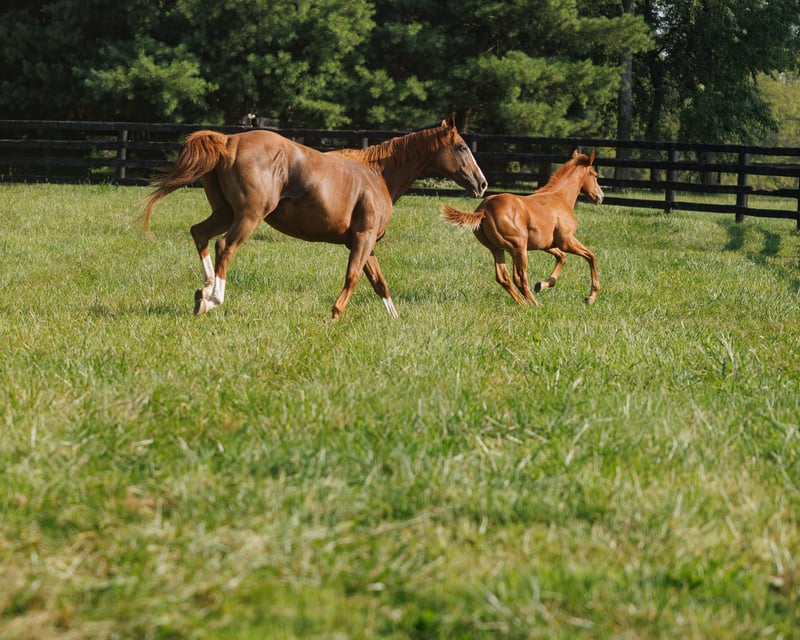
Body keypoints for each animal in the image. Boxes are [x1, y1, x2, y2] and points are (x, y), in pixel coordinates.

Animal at [141, 114, 487, 320]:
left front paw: (395, 320)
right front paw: (334, 315)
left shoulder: (368, 244)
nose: (482, 184)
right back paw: (215, 297)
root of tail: (228, 142)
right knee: (224, 246)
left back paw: (203, 293)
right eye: (460, 147)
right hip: (248, 216)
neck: (378, 175)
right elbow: (354, 276)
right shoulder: (362, 240)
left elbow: (380, 284)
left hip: (225, 213)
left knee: (199, 233)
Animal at [442, 149, 604, 306]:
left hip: (497, 249)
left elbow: (562, 258)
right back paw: (535, 305)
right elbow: (591, 256)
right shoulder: (566, 241)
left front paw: (541, 285)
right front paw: (591, 296)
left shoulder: (547, 245)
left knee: (503, 277)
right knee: (519, 277)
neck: (560, 198)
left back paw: (523, 304)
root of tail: (484, 209)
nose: (600, 197)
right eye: (595, 175)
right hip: (518, 248)